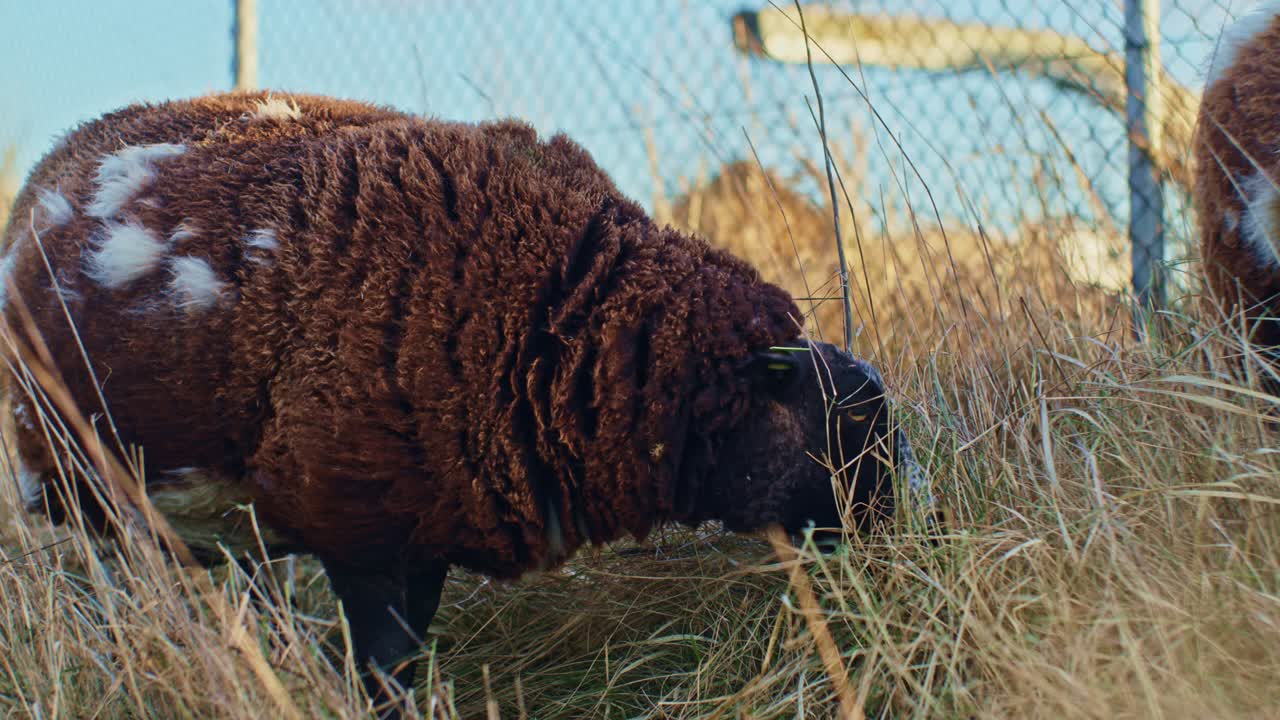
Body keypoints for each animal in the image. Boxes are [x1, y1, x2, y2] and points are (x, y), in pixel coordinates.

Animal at [0, 91, 931, 704]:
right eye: (844, 426)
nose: (902, 541)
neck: (571, 315)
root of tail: (54, 164)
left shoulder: (427, 521)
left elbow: (409, 651)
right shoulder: (363, 525)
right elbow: (386, 669)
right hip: (87, 491)